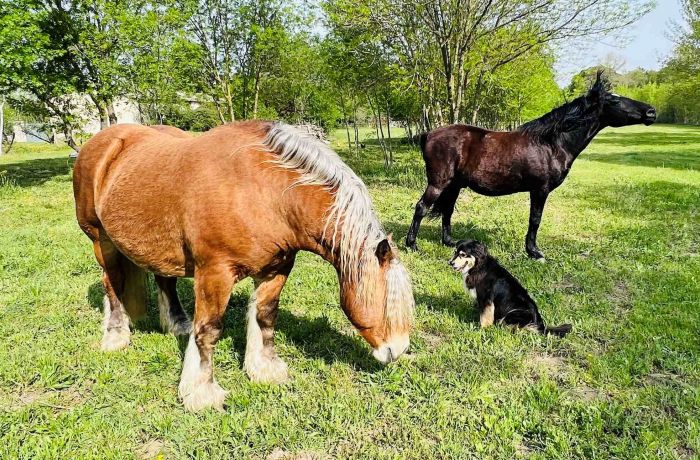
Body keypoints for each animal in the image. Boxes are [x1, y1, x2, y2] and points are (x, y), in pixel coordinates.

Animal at [74, 120, 412, 412]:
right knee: (112, 285)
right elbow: (208, 330)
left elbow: (265, 316)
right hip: (101, 242)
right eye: (385, 302)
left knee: (165, 281)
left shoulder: (276, 269)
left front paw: (264, 368)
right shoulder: (215, 273)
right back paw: (116, 336)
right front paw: (201, 392)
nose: (396, 351)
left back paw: (177, 323)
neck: (267, 191)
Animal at [404, 71, 656, 258]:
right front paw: (534, 252)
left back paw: (449, 242)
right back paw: (412, 244)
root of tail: (429, 134)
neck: (551, 143)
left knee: (447, 210)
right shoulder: (540, 190)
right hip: (438, 183)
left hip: (454, 185)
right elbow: (535, 220)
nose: (651, 112)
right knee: (421, 207)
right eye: (615, 100)